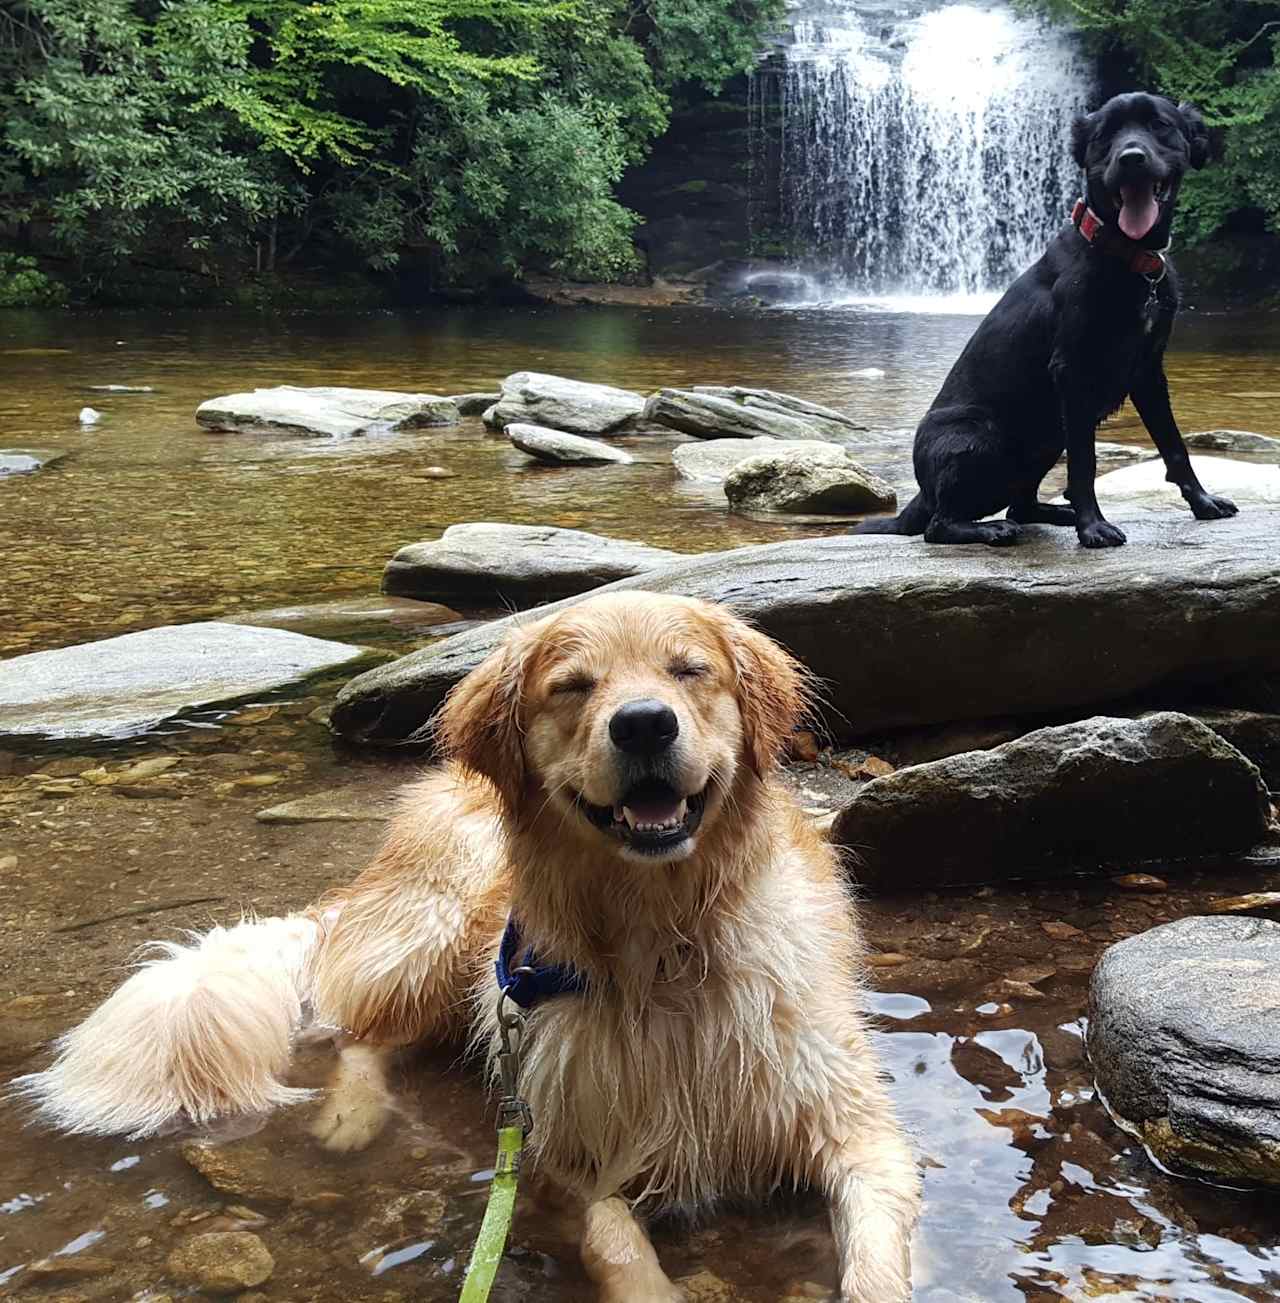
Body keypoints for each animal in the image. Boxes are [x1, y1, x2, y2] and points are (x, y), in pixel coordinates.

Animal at [17, 594, 922, 1303]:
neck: (661, 941)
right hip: (448, 928)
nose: (642, 724)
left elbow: (877, 1253)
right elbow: (610, 1235)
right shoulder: (562, 1145)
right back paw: (350, 1115)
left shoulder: (857, 1127)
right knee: (362, 1032)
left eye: (690, 670)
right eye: (573, 686)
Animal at [855, 93, 1235, 544]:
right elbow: (1085, 463)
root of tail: (921, 495)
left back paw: (1055, 514)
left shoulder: (1149, 371)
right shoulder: (1072, 372)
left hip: (1046, 441)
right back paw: (992, 529)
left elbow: (1174, 446)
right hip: (981, 436)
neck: (1126, 255)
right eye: (1105, 134)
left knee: (1021, 505)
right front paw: (1094, 527)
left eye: (1160, 125)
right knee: (940, 526)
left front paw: (1203, 502)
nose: (1131, 158)